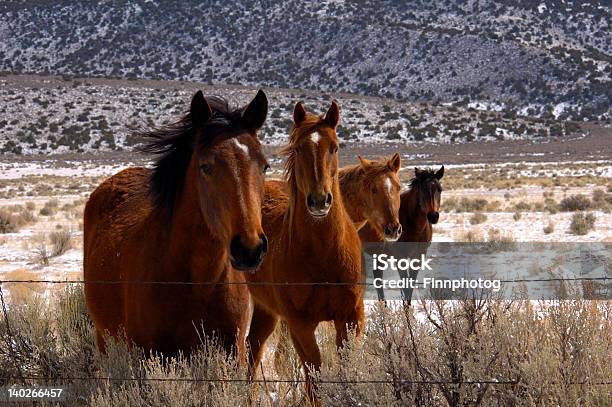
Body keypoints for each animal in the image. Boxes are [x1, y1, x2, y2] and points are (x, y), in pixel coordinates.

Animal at [82, 90, 268, 360]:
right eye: (205, 167)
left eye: (265, 166)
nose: (250, 248)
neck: (200, 282)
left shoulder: (235, 352)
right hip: (105, 339)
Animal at [246, 100, 366, 404]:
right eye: (299, 148)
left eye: (335, 146)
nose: (319, 201)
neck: (324, 254)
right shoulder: (300, 324)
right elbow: (314, 376)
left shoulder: (351, 317)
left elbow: (345, 367)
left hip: (266, 309)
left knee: (253, 346)